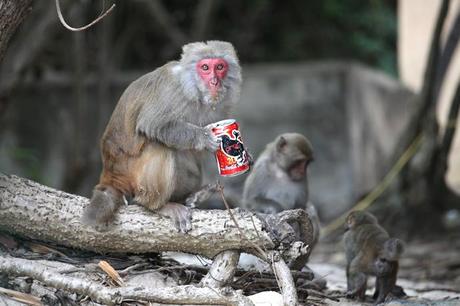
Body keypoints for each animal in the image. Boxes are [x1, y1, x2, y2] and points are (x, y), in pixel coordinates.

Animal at [82, 40, 244, 232]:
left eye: (220, 67)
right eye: (205, 67)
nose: (214, 81)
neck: (194, 92)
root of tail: (110, 171)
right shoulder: (171, 92)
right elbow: (154, 124)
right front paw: (205, 138)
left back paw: (193, 196)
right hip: (130, 173)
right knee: (160, 146)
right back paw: (158, 206)